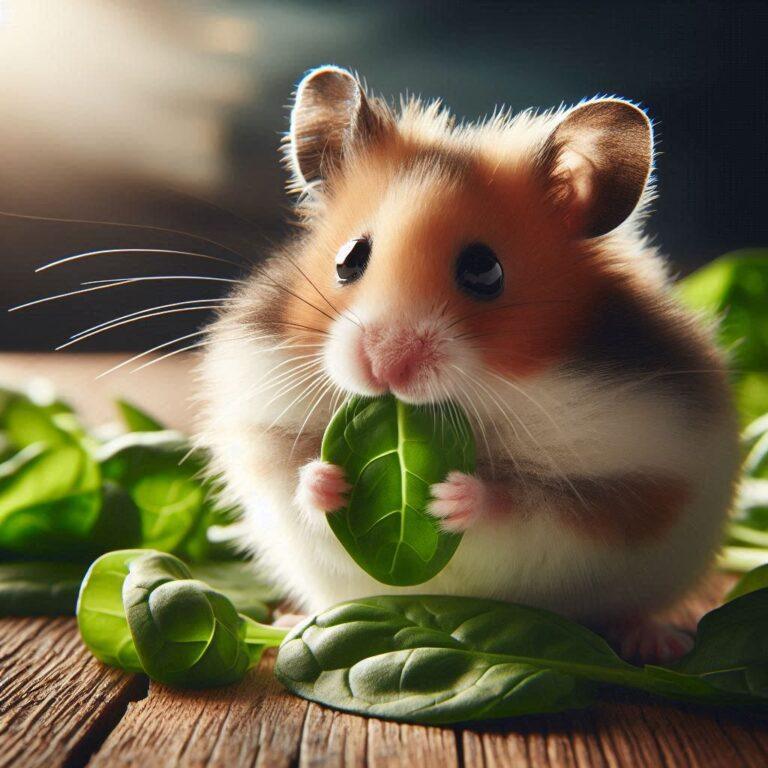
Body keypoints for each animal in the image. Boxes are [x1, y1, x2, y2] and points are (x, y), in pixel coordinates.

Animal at [195, 66, 740, 664]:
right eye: (348, 260)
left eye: (485, 271)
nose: (385, 365)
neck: (476, 405)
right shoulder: (263, 448)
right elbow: (292, 479)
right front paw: (329, 480)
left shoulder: (626, 488)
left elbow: (531, 512)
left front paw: (447, 496)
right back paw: (294, 621)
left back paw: (658, 643)